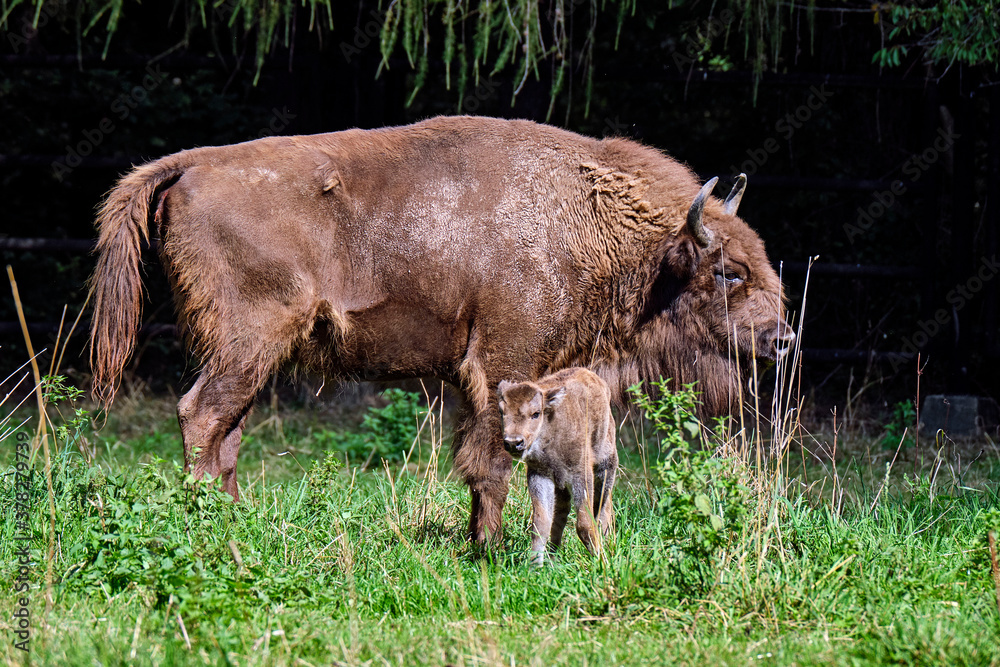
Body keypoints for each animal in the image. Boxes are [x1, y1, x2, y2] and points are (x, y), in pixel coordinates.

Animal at [90, 115, 794, 543]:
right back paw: (211, 528)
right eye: (727, 271)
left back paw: (238, 523)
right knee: (201, 416)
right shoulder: (502, 365)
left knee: (225, 433)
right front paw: (491, 548)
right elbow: (492, 461)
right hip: (247, 343)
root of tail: (192, 164)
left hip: (250, 356)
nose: (782, 339)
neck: (587, 215)